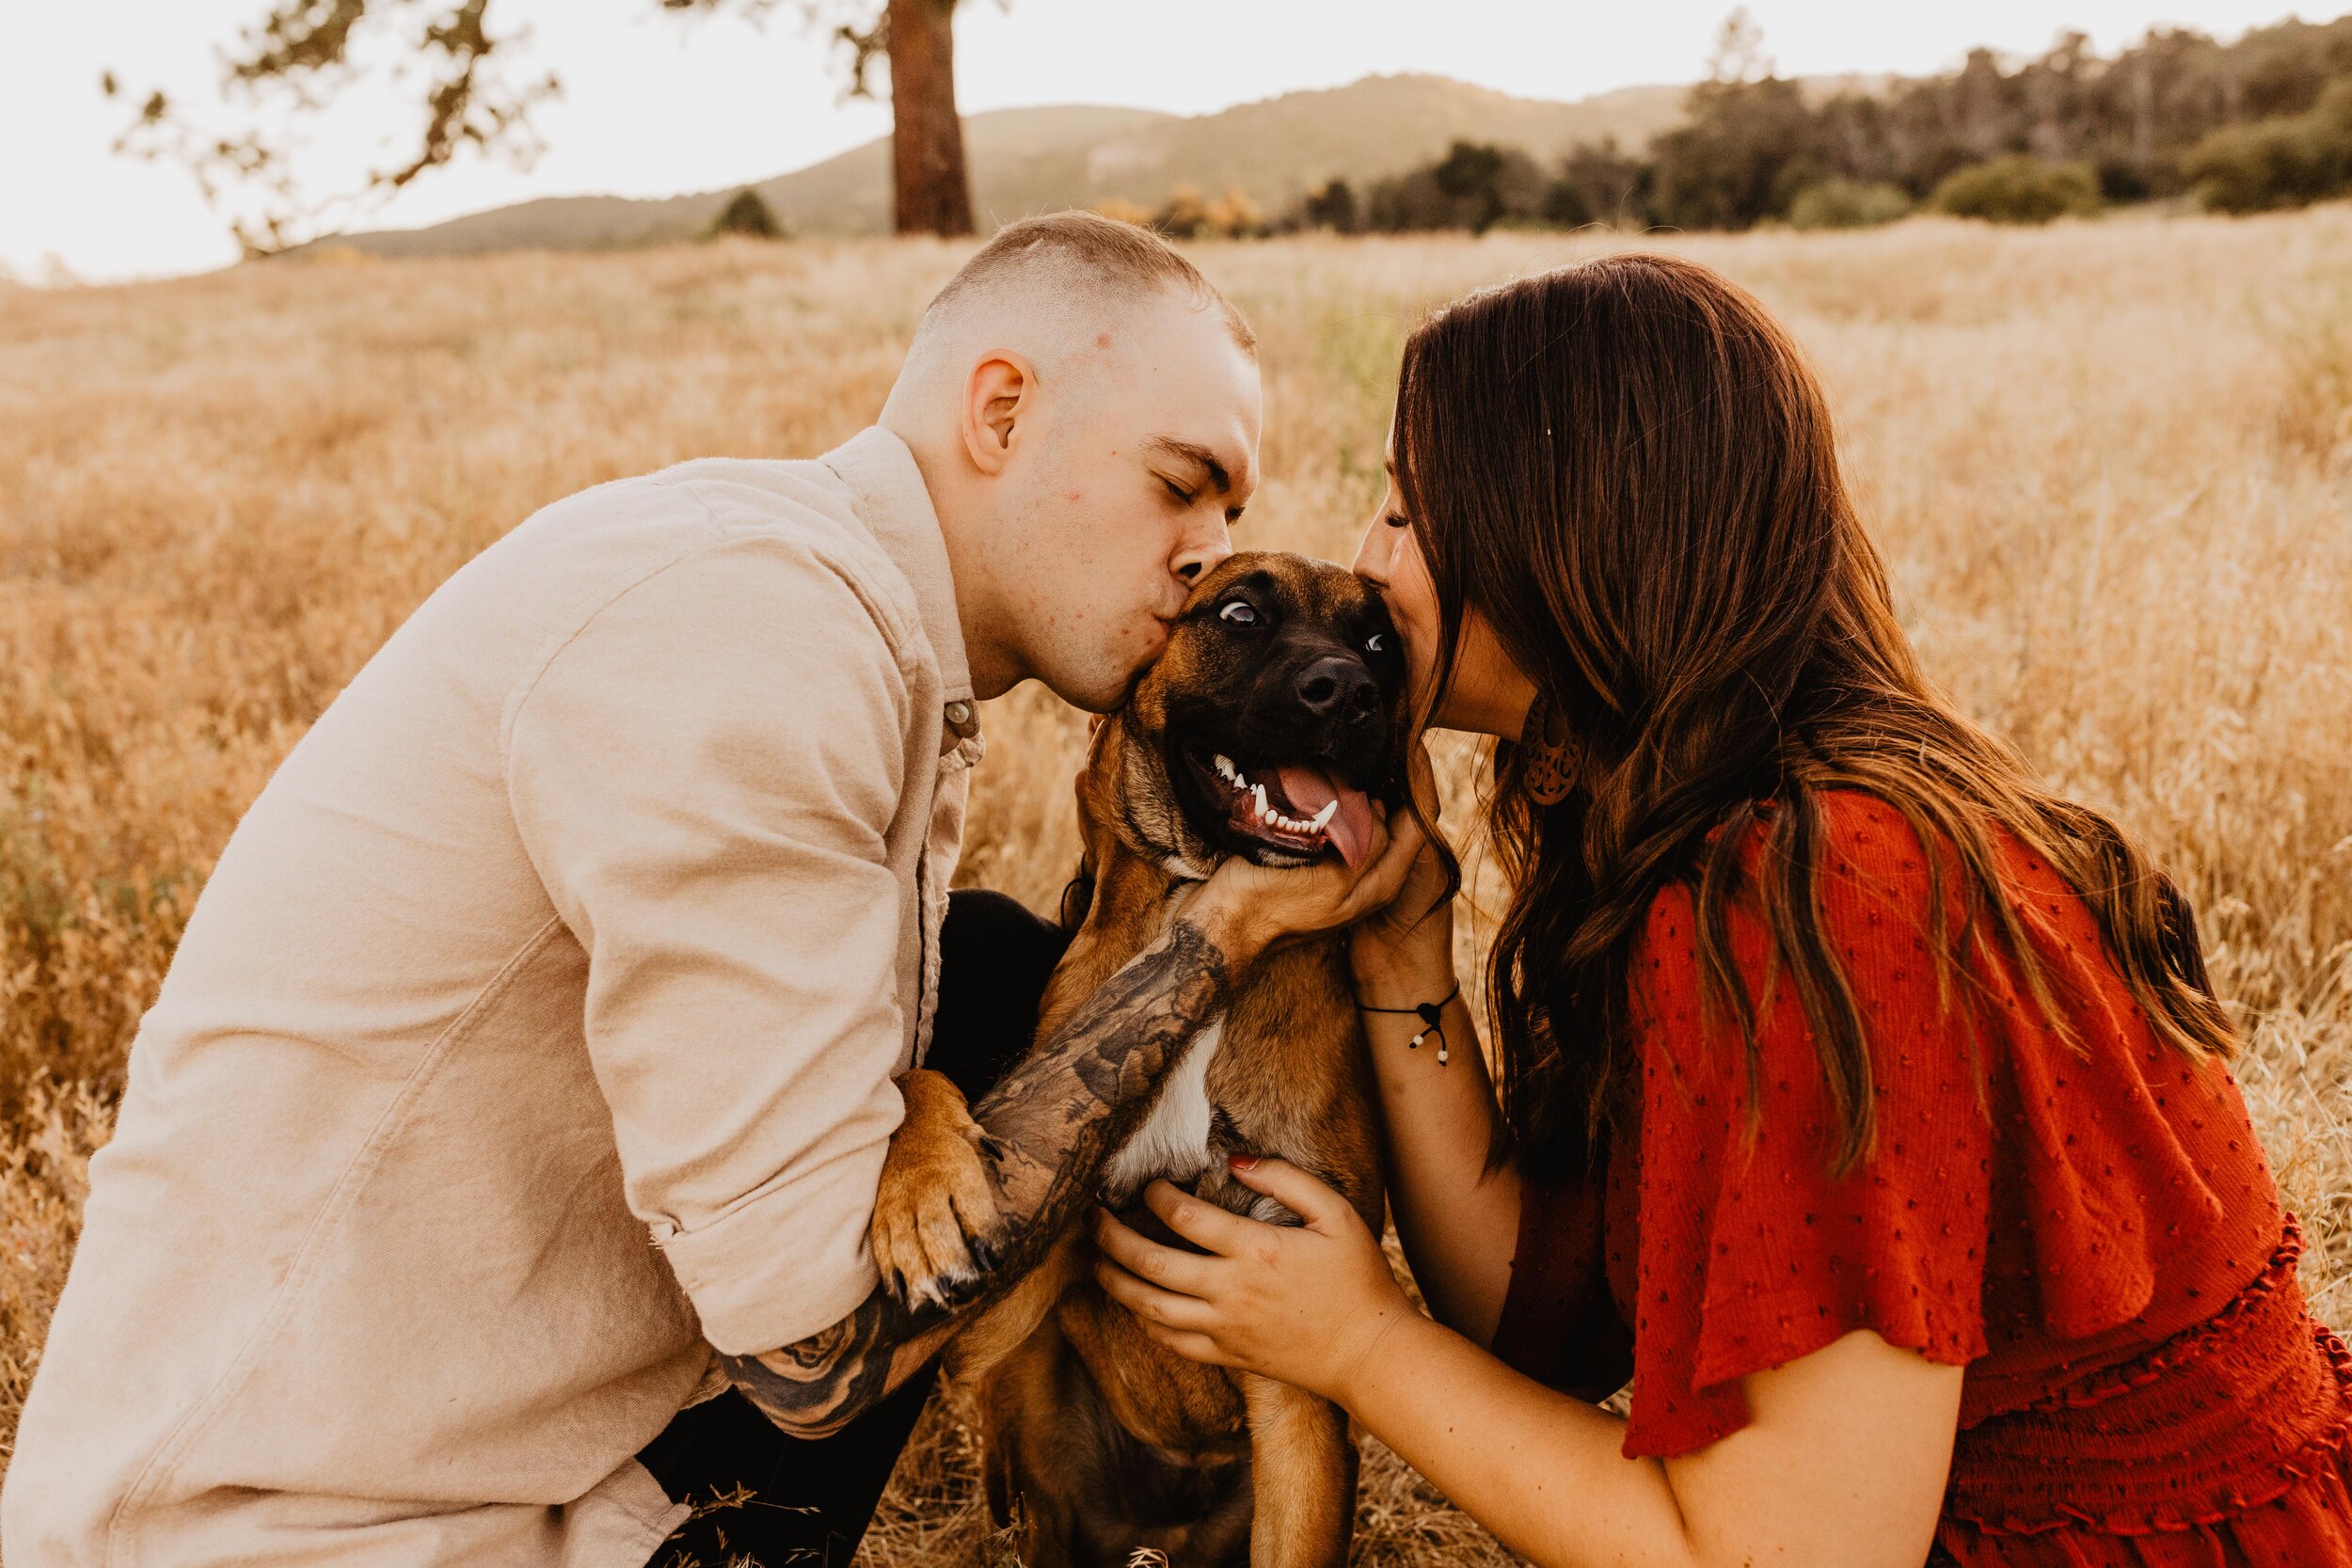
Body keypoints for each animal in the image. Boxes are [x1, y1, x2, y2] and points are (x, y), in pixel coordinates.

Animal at [870, 552, 1402, 1568]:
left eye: (1378, 639)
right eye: (1238, 613)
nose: (1352, 691)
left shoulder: (1302, 1394)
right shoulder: (995, 1310)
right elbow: (915, 1078)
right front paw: (921, 1192)